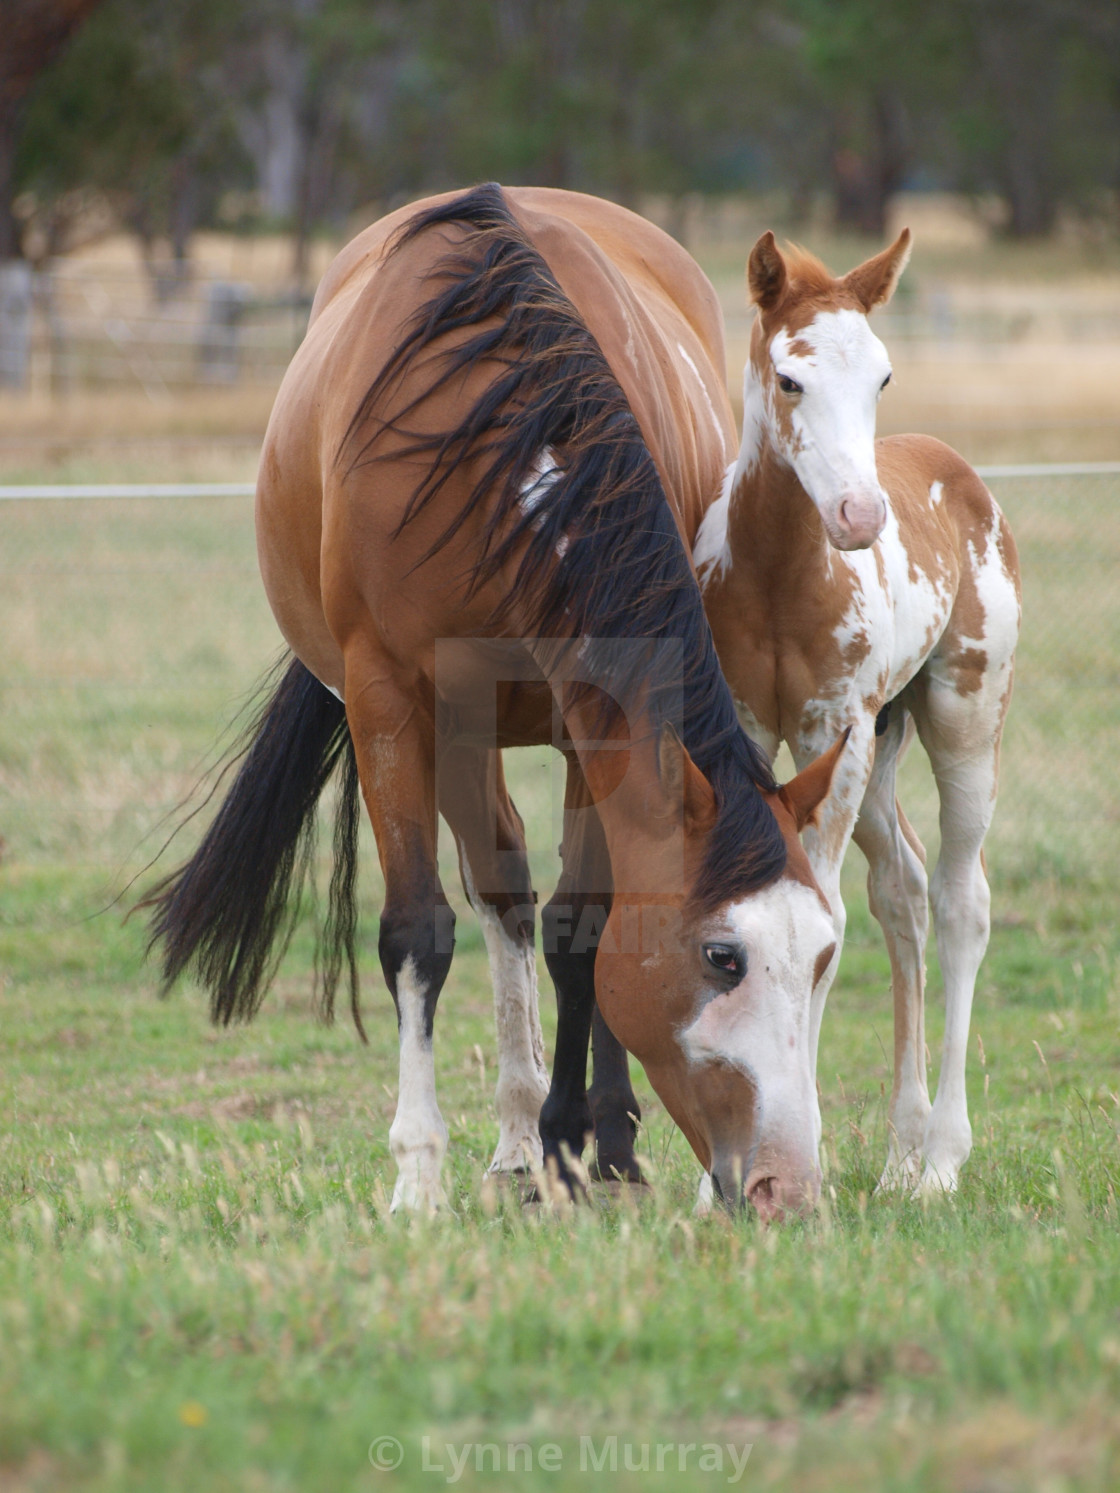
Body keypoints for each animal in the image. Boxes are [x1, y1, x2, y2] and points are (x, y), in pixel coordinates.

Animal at [151, 183, 848, 1212]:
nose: (785, 1186)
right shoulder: (392, 705)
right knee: (499, 888)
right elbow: (419, 930)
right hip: (454, 732)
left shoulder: (591, 717)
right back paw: (513, 1135)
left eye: (825, 953)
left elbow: (583, 926)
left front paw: (577, 1144)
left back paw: (585, 1135)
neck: (515, 459)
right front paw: (420, 1174)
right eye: (724, 956)